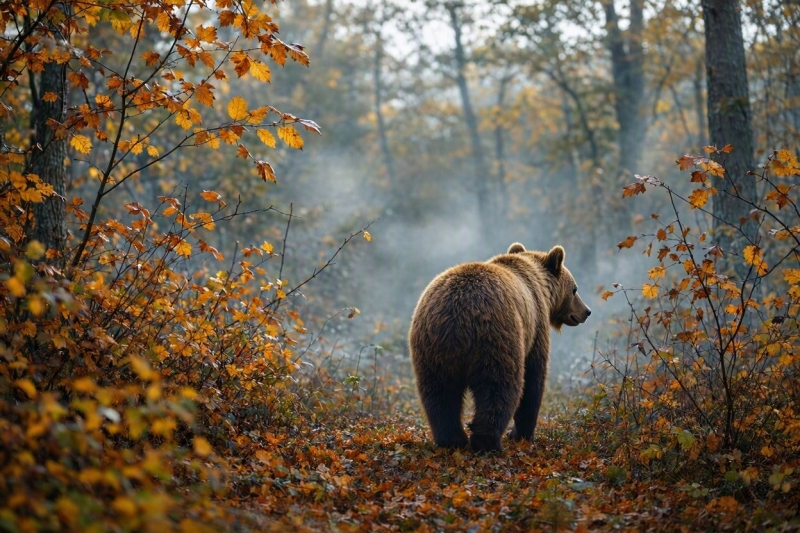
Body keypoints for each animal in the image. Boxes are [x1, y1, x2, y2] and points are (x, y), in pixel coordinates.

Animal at [408, 243, 591, 452]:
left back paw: (452, 441)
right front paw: (521, 434)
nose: (587, 311)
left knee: (439, 392)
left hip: (431, 347)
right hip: (496, 337)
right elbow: (533, 378)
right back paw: (488, 443)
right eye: (575, 289)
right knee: (500, 386)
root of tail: (457, 314)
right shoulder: (536, 325)